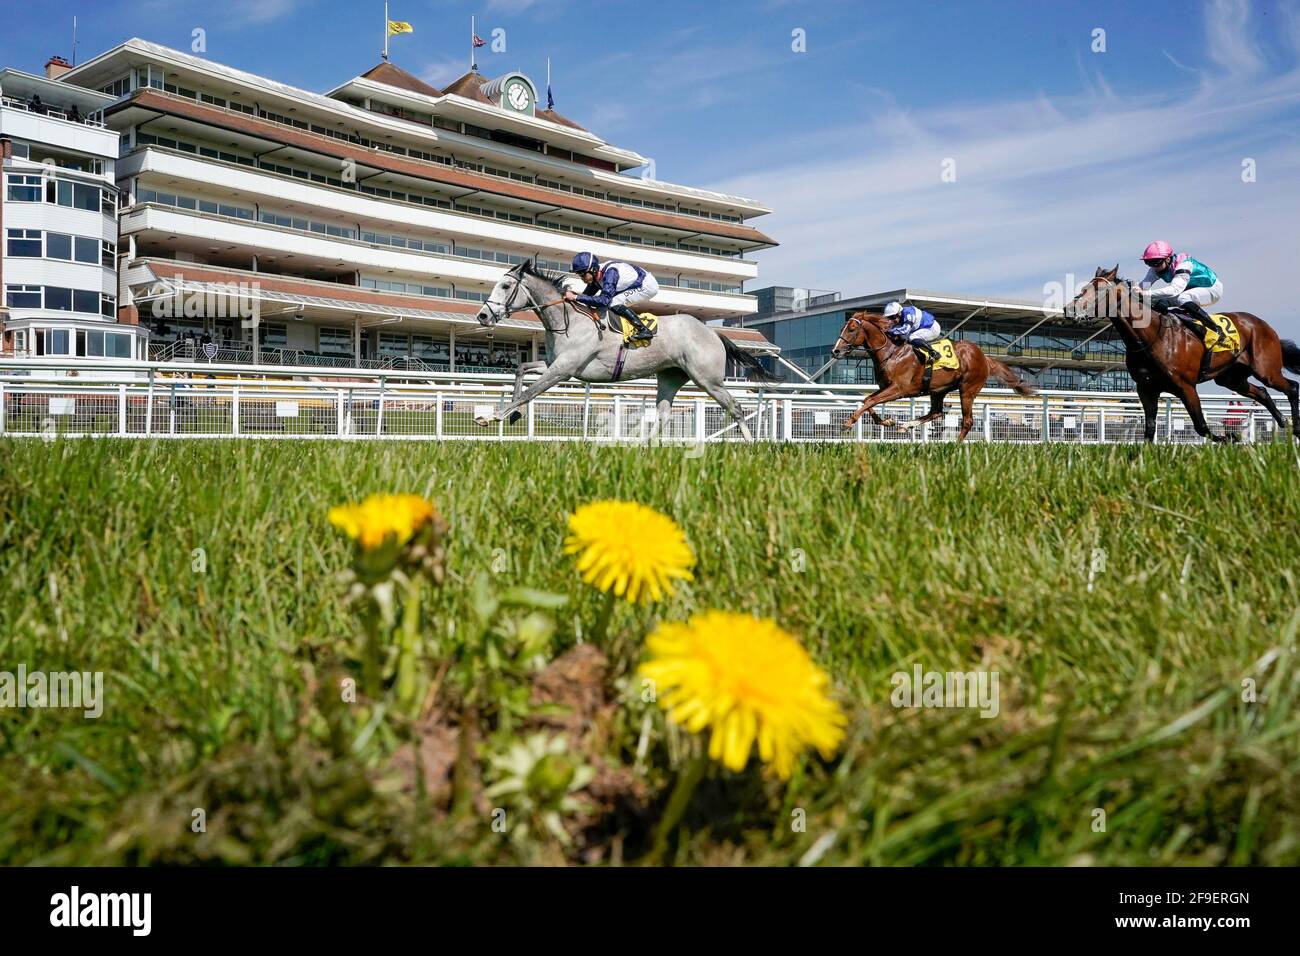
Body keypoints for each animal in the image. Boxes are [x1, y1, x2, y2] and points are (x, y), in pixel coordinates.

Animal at [478, 260, 780, 442]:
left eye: (505, 286)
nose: (483, 316)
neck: (568, 321)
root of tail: (712, 332)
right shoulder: (555, 364)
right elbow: (520, 370)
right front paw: (513, 414)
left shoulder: (564, 369)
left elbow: (530, 392)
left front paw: (493, 416)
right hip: (670, 376)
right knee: (663, 414)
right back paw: (645, 446)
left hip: (708, 379)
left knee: (735, 407)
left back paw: (751, 445)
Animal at [832, 312, 1034, 442]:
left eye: (851, 329)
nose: (836, 351)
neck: (892, 352)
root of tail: (984, 357)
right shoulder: (886, 387)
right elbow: (868, 401)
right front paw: (888, 421)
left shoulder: (899, 389)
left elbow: (870, 402)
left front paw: (847, 422)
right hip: (938, 390)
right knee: (936, 412)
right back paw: (907, 425)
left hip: (967, 389)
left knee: (967, 421)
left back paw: (955, 445)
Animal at [1066, 265, 1300, 444]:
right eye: (1084, 288)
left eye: (1099, 290)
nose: (1070, 310)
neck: (1153, 337)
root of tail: (1264, 325)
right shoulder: (1146, 389)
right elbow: (1149, 428)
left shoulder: (1186, 386)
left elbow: (1201, 425)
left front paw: (1228, 438)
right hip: (1231, 378)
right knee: (1262, 392)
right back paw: (1284, 422)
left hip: (1266, 369)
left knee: (1291, 387)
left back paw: (1294, 427)